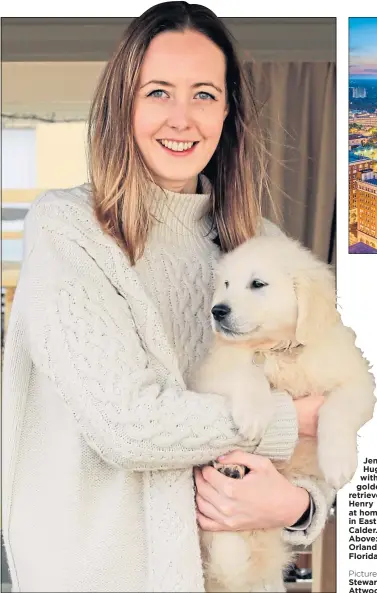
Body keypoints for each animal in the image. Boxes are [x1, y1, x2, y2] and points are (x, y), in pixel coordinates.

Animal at [189, 231, 374, 592]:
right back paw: (231, 468)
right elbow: (246, 373)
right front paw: (255, 413)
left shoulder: (358, 379)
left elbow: (338, 409)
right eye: (226, 283)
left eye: (257, 284)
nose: (217, 311)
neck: (278, 350)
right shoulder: (211, 373)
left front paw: (339, 462)